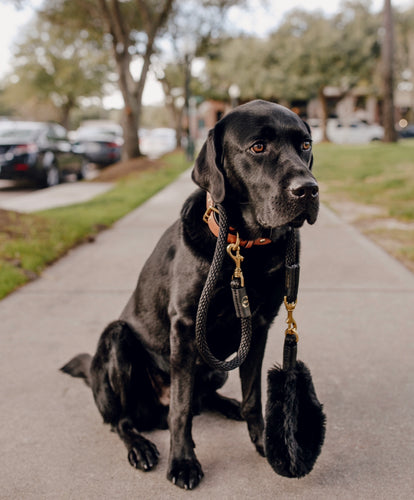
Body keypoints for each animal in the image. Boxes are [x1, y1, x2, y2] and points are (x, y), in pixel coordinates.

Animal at [62, 99, 320, 490]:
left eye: (304, 144)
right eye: (258, 147)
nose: (308, 189)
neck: (243, 249)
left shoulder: (259, 325)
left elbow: (252, 396)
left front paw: (265, 442)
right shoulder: (185, 326)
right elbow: (181, 409)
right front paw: (183, 462)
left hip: (216, 367)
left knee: (205, 398)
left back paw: (227, 406)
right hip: (117, 339)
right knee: (124, 420)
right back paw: (140, 446)